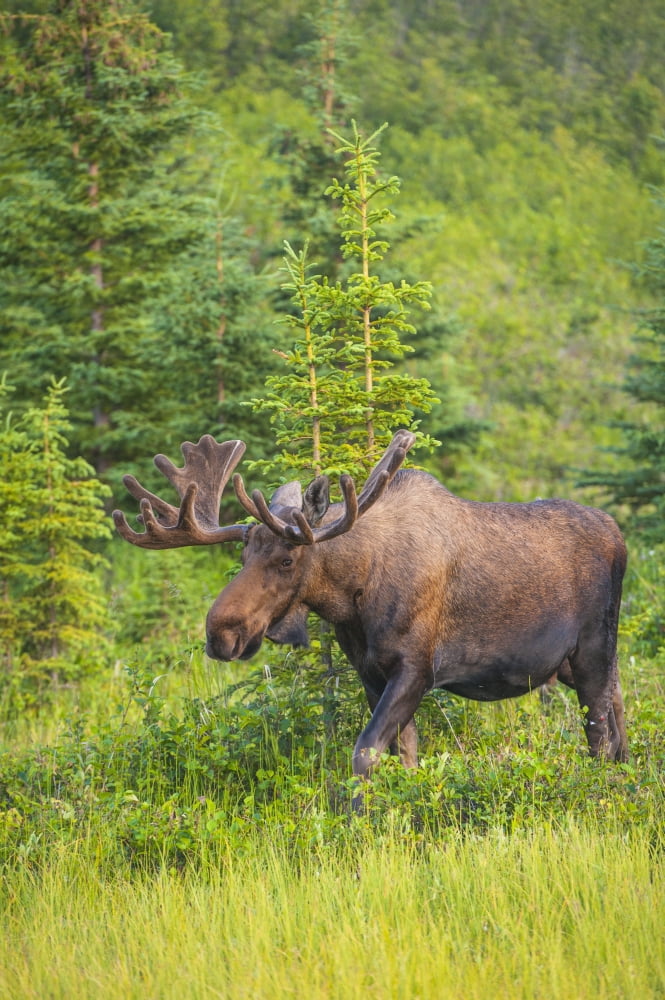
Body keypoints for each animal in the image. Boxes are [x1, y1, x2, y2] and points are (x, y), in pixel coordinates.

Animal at [113, 431, 628, 787]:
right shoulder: (369, 672)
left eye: (286, 560)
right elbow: (405, 755)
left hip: (593, 648)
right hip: (572, 664)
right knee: (620, 712)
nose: (221, 633)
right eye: (243, 556)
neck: (354, 598)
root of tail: (619, 536)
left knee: (599, 732)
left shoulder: (417, 669)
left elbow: (364, 753)